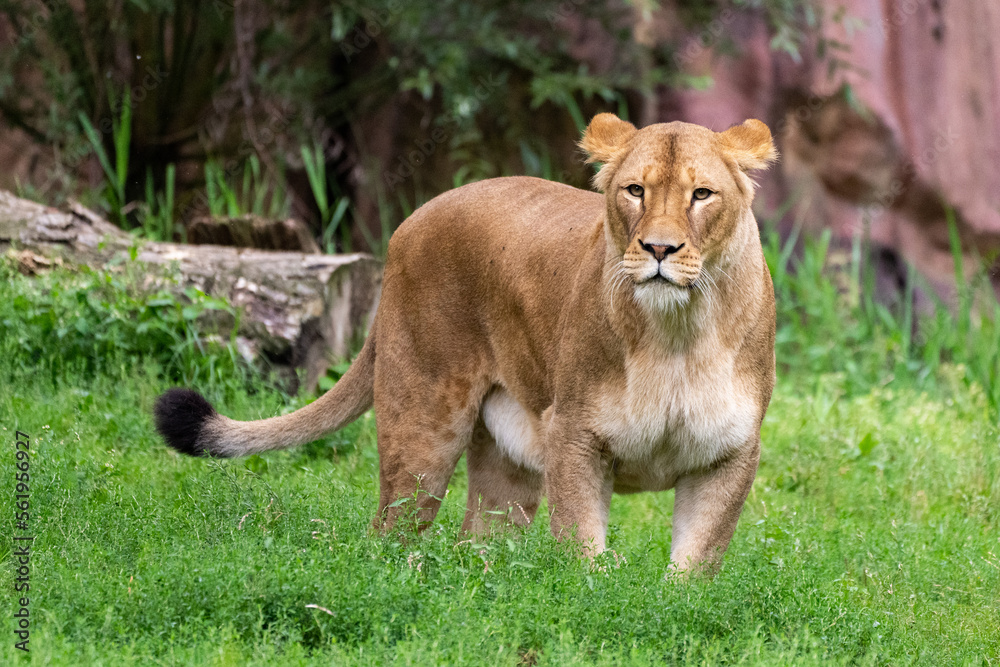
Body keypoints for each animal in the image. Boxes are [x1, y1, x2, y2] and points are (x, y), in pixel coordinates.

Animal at [155, 113, 777, 572]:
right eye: (634, 191)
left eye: (702, 194)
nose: (659, 249)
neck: (678, 334)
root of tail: (412, 219)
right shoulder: (574, 434)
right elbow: (581, 547)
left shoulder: (729, 452)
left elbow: (696, 562)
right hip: (423, 425)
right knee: (391, 530)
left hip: (507, 460)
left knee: (479, 538)